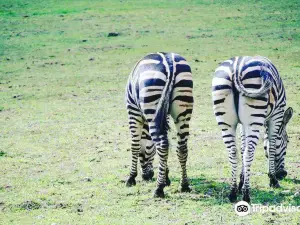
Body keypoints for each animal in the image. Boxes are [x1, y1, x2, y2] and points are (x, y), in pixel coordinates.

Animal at [125, 52, 193, 197]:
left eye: (142, 155)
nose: (147, 177)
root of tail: (169, 62)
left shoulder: (133, 111)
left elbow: (134, 145)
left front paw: (131, 178)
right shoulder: (163, 116)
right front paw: (166, 177)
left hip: (151, 100)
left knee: (162, 144)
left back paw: (158, 189)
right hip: (183, 106)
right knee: (181, 147)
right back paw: (184, 185)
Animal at [212, 55, 294, 202]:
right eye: (287, 141)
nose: (283, 174)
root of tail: (236, 68)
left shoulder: (242, 124)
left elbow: (242, 147)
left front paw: (241, 181)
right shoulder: (277, 114)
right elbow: (271, 146)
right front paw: (273, 180)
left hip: (226, 121)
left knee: (233, 152)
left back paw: (233, 193)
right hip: (254, 120)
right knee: (249, 153)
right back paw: (246, 195)